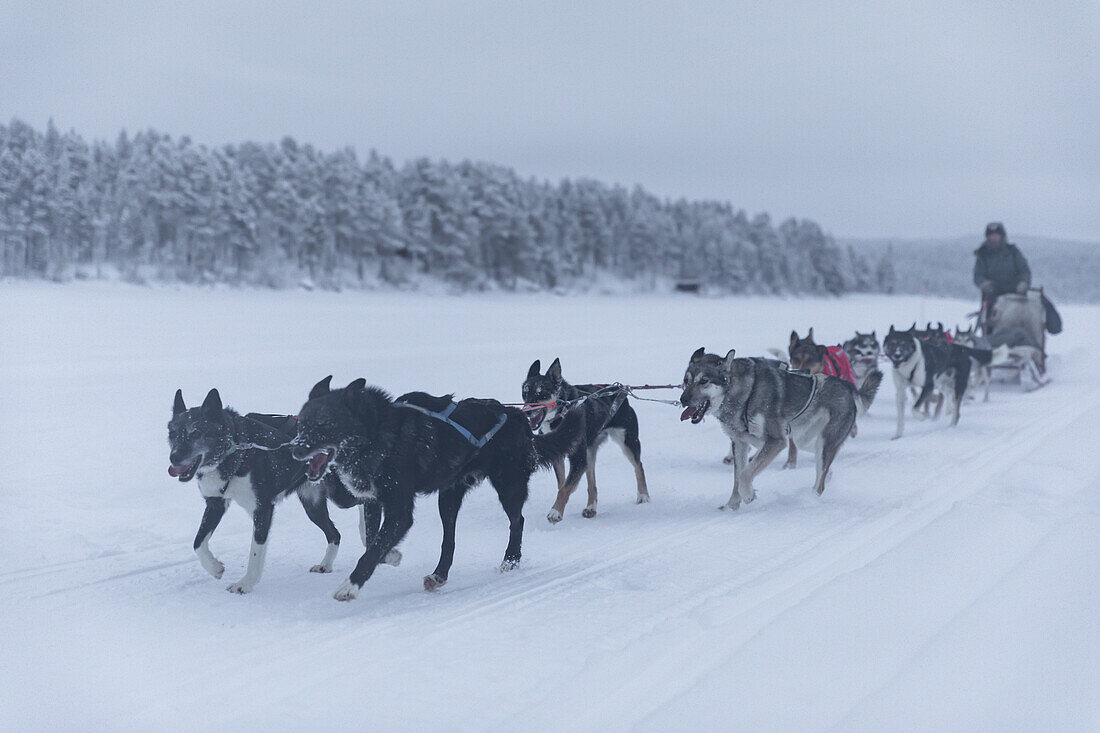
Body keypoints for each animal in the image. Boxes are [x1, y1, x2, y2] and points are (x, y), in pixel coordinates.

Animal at [673, 347, 880, 508]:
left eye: (704, 380)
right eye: (686, 380)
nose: (683, 400)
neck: (742, 394)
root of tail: (849, 386)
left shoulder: (776, 441)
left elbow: (745, 475)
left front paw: (748, 495)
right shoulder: (739, 443)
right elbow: (738, 476)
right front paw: (731, 505)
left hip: (823, 442)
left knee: (819, 482)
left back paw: (810, 499)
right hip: (804, 440)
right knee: (821, 464)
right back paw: (828, 476)